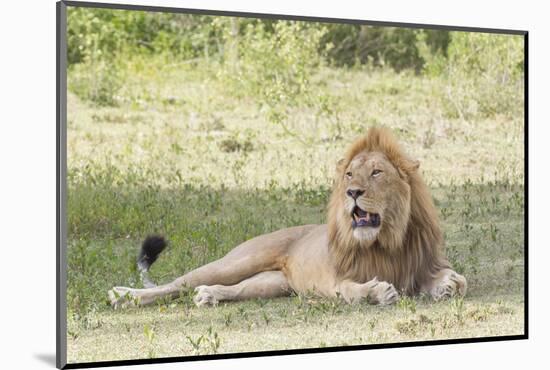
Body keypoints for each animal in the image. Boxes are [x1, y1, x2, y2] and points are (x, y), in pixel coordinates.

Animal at [110, 125, 468, 308]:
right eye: (350, 175)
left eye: (377, 172)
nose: (352, 192)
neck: (385, 242)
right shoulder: (335, 279)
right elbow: (352, 290)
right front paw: (378, 292)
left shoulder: (421, 262)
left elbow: (455, 280)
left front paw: (447, 285)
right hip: (236, 261)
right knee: (175, 284)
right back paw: (123, 296)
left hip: (271, 283)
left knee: (231, 289)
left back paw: (209, 295)